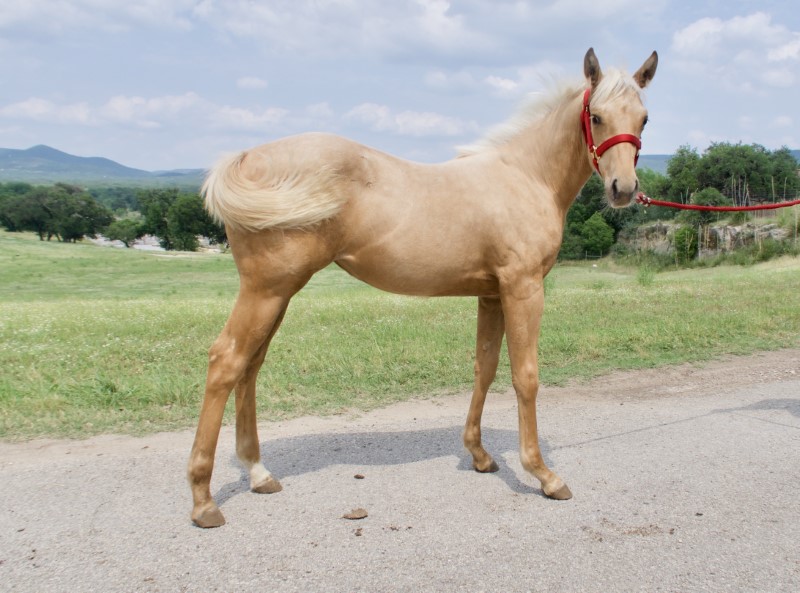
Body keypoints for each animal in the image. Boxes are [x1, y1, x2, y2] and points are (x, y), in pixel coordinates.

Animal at [186, 47, 656, 528]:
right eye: (596, 116)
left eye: (643, 118)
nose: (623, 189)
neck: (526, 176)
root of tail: (248, 157)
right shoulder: (522, 289)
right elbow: (525, 376)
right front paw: (544, 474)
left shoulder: (491, 294)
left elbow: (484, 368)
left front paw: (480, 455)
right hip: (266, 291)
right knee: (226, 362)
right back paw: (204, 500)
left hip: (276, 294)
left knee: (250, 366)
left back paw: (258, 473)